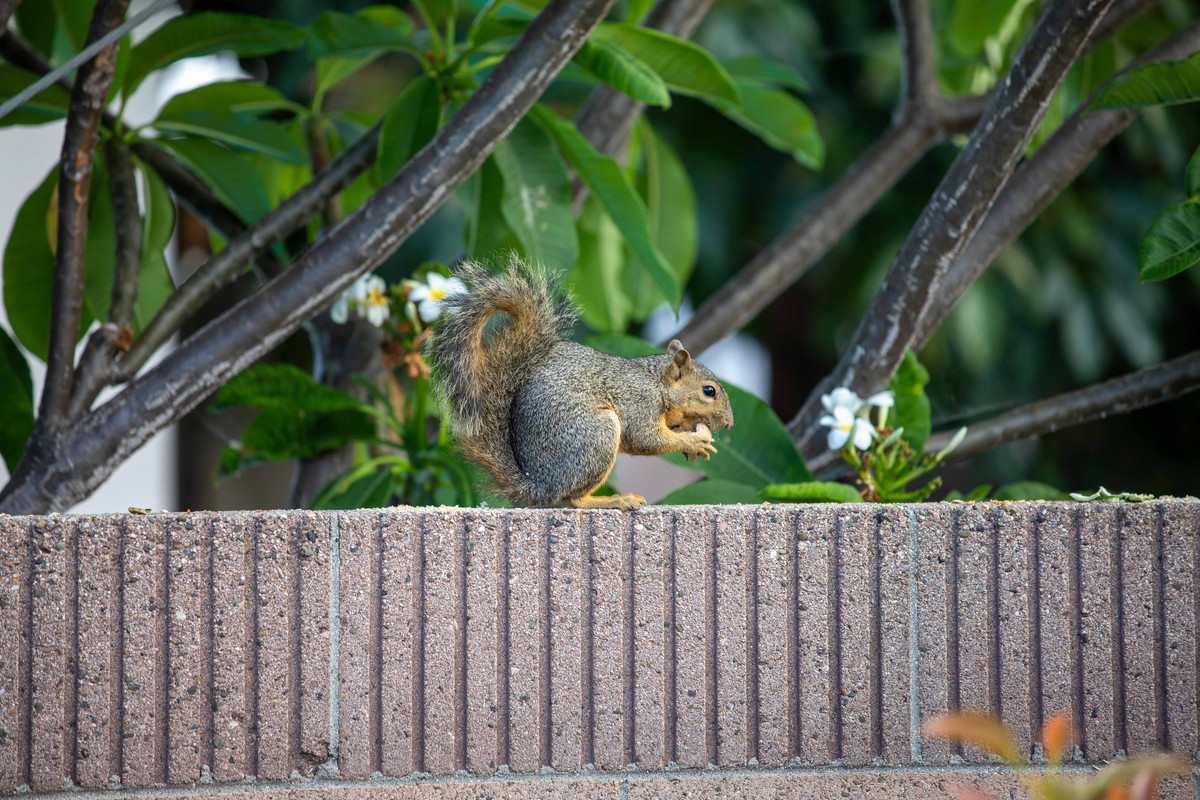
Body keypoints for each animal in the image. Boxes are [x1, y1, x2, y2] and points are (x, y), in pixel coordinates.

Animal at [426, 257, 735, 509]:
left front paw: (690, 442)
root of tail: (539, 485)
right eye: (709, 391)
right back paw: (612, 500)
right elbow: (643, 438)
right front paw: (693, 441)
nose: (730, 424)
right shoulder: (639, 400)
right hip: (595, 437)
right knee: (572, 498)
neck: (657, 383)